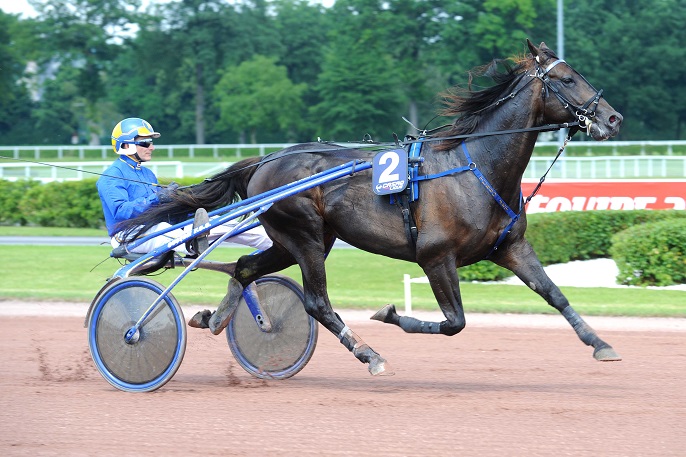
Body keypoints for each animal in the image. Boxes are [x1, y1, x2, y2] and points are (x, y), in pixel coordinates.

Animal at [122, 40, 624, 374]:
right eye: (566, 79)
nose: (613, 118)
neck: (474, 166)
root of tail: (266, 160)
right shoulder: (436, 257)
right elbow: (454, 323)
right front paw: (390, 315)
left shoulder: (510, 248)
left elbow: (555, 294)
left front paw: (600, 343)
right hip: (305, 236)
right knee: (317, 303)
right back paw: (369, 354)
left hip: (297, 239)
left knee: (245, 267)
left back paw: (216, 318)